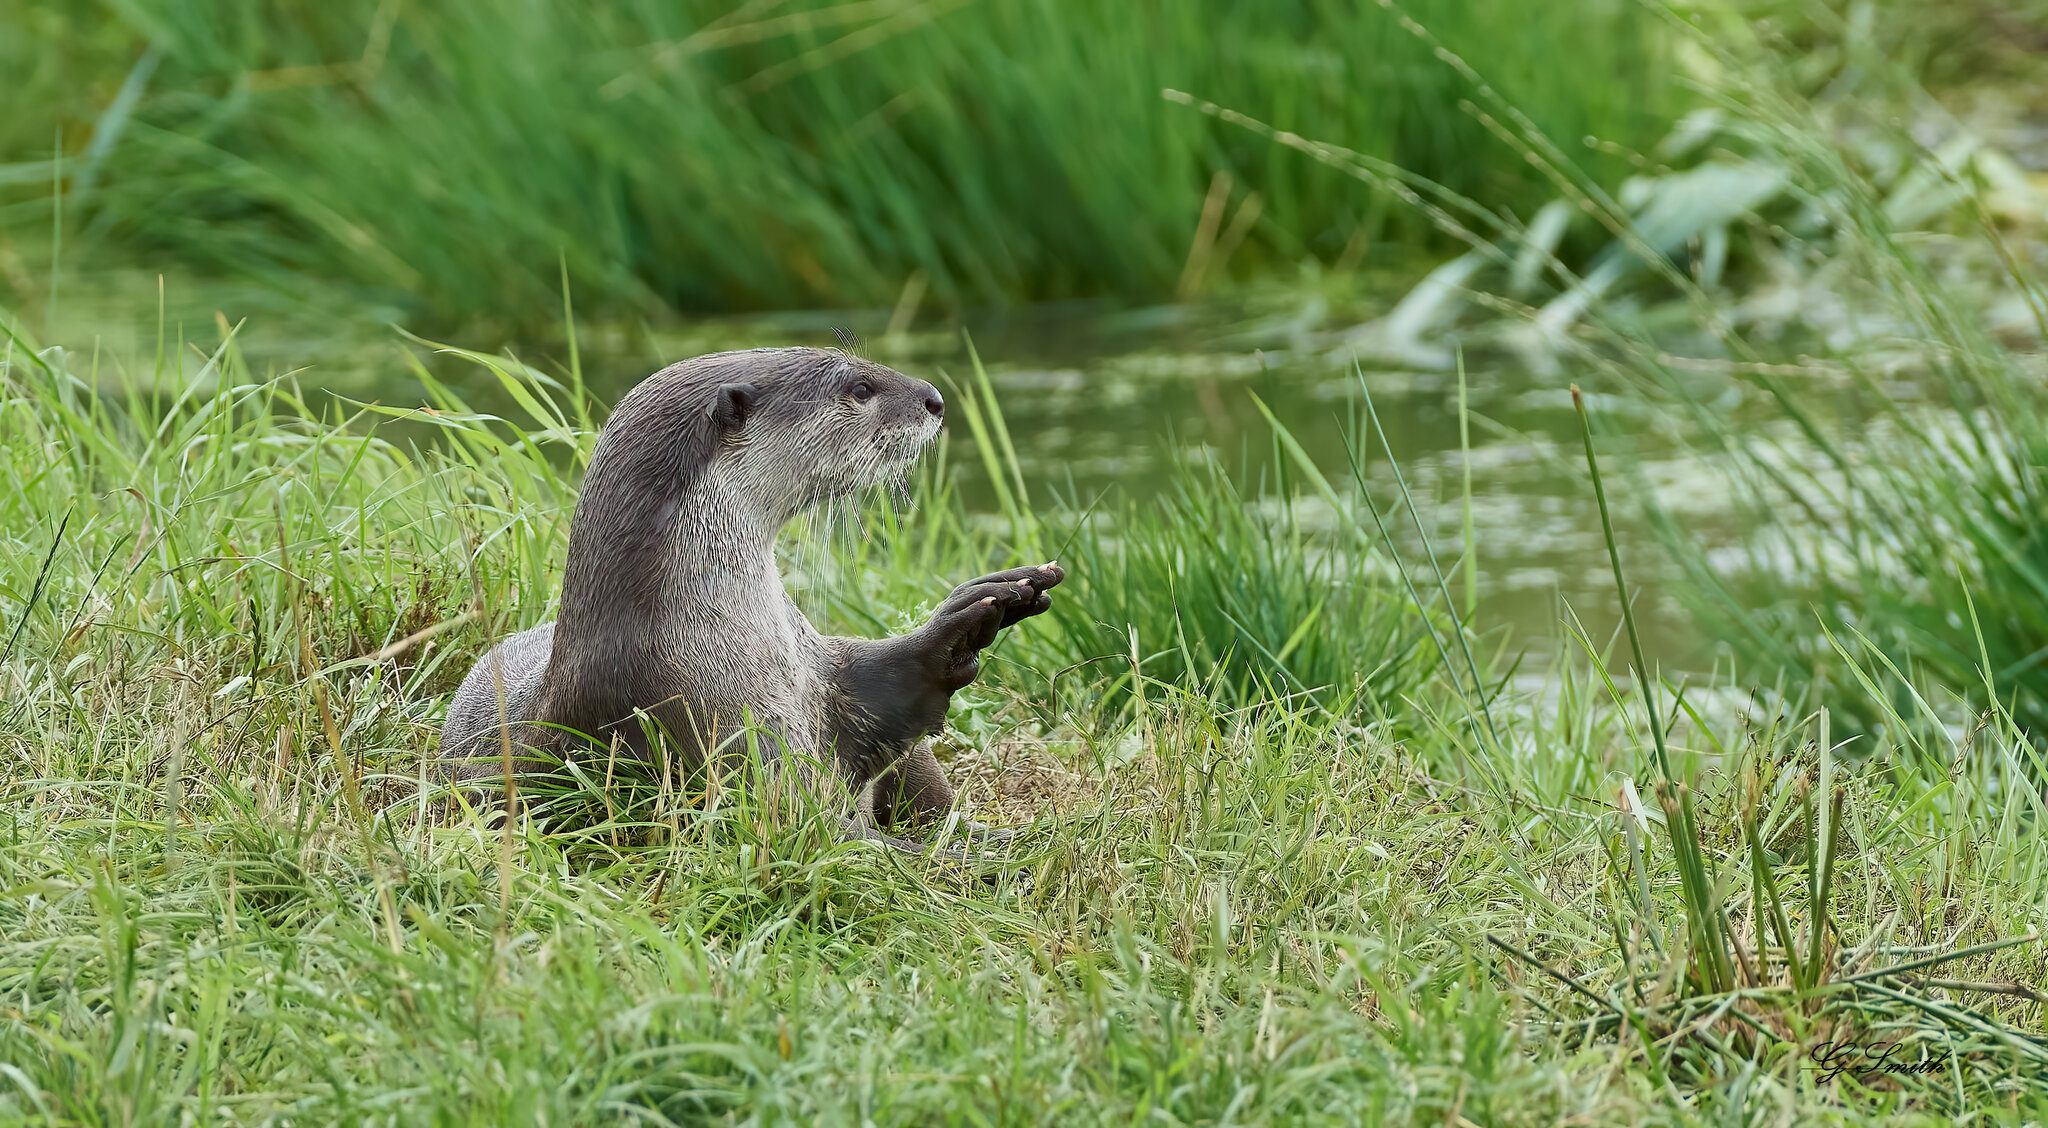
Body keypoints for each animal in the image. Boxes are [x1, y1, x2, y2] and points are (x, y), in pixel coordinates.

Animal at [440, 348, 1064, 851]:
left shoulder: (818, 666)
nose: (935, 399)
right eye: (860, 388)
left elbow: (877, 690)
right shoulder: (717, 728)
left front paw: (976, 610)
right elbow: (817, 830)